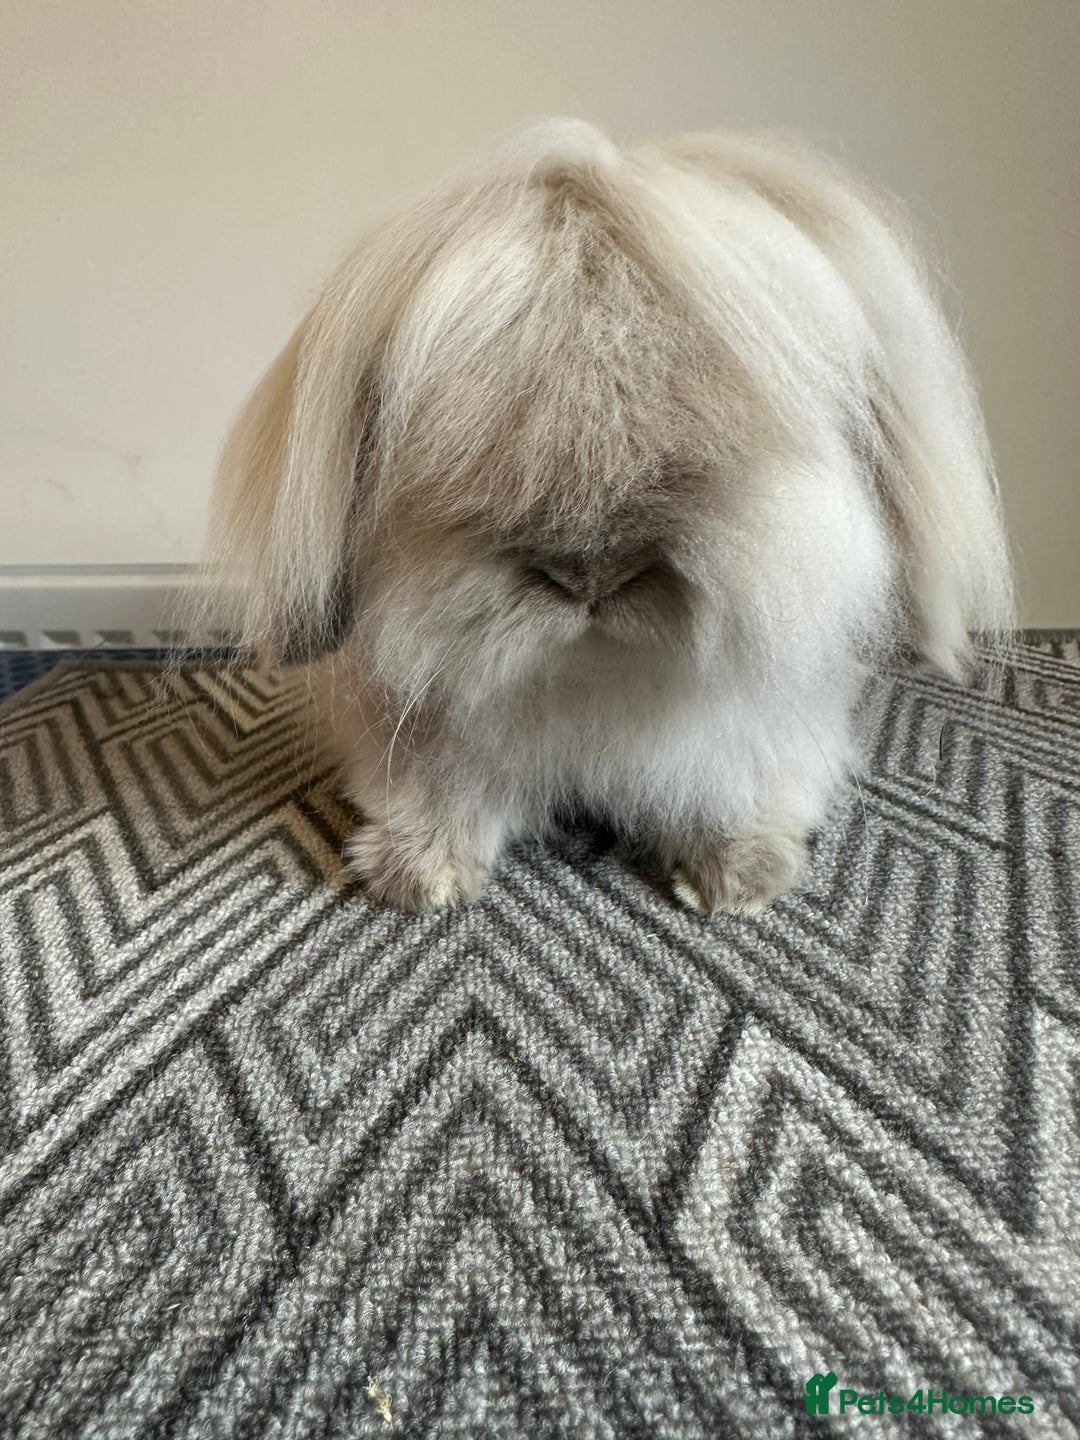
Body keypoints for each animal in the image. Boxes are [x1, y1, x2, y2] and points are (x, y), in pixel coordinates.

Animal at [199, 118, 1013, 914]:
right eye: (457, 444)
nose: (591, 575)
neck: (593, 676)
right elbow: (440, 790)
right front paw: (419, 874)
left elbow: (735, 780)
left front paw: (734, 879)